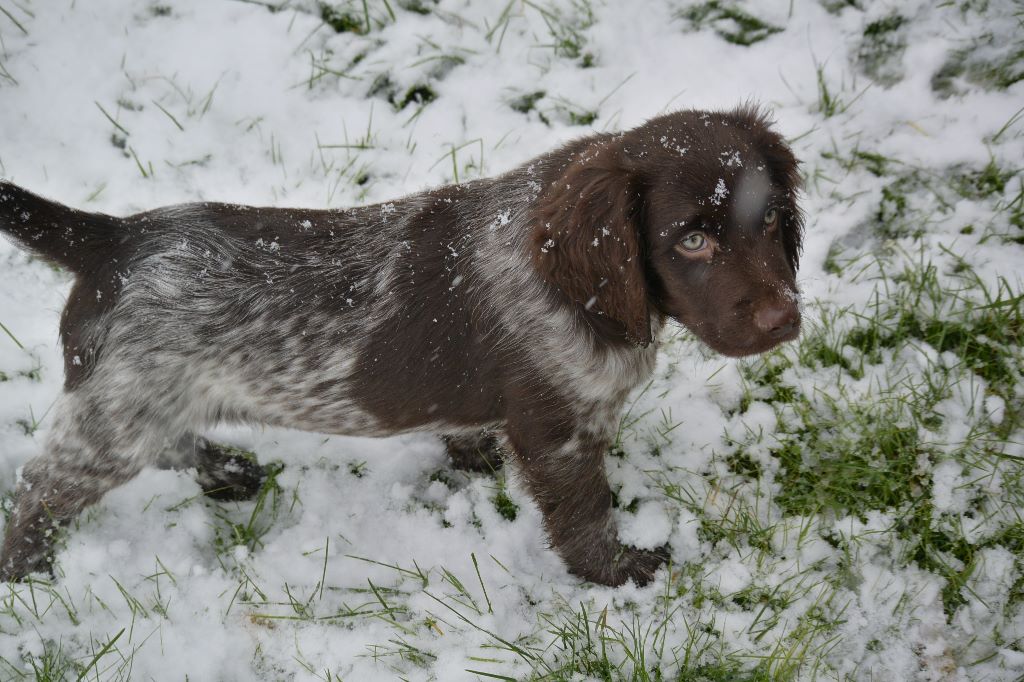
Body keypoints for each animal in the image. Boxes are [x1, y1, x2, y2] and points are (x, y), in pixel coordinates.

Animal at [0, 106, 798, 585]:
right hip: (116, 414)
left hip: (142, 398)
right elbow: (583, 514)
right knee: (40, 492)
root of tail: (111, 239)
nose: (784, 320)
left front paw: (471, 456)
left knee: (168, 440)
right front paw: (618, 572)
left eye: (769, 219)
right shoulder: (559, 431)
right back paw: (28, 574)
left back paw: (227, 471)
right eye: (690, 240)